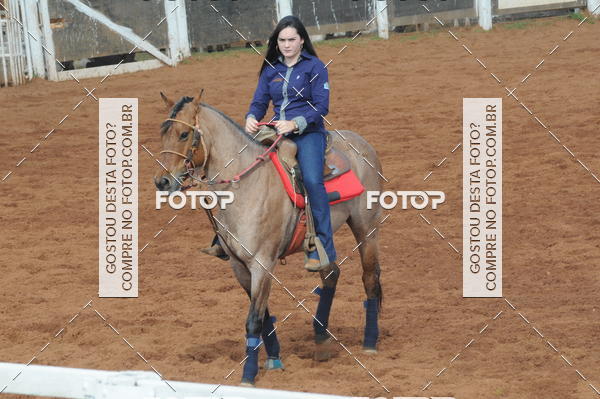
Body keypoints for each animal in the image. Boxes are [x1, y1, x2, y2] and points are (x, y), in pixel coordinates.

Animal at [154, 91, 384, 388]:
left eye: (184, 134)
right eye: (163, 133)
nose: (161, 182)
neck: (246, 186)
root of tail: (362, 143)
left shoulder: (262, 264)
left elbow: (253, 319)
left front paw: (248, 376)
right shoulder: (239, 266)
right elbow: (261, 315)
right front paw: (274, 358)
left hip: (366, 228)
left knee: (370, 278)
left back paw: (369, 342)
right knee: (331, 273)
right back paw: (321, 341)